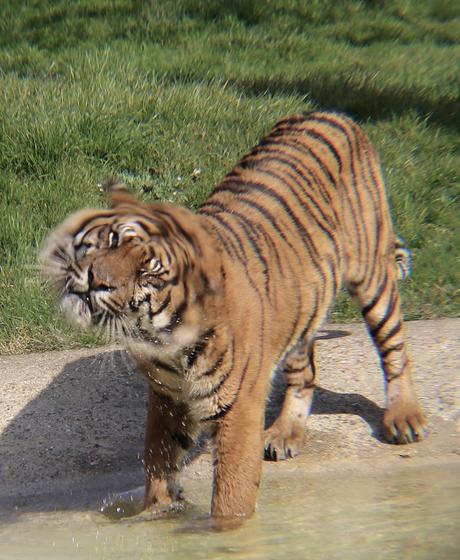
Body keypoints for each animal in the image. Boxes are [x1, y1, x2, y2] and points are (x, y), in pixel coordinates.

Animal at [40, 111, 428, 524]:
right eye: (113, 240)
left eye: (149, 273)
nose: (96, 280)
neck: (164, 340)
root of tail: (331, 114)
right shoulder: (167, 398)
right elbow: (158, 460)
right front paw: (158, 513)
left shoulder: (238, 409)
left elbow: (230, 495)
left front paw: (225, 530)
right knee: (304, 371)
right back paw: (285, 433)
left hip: (372, 277)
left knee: (395, 348)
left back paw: (404, 417)